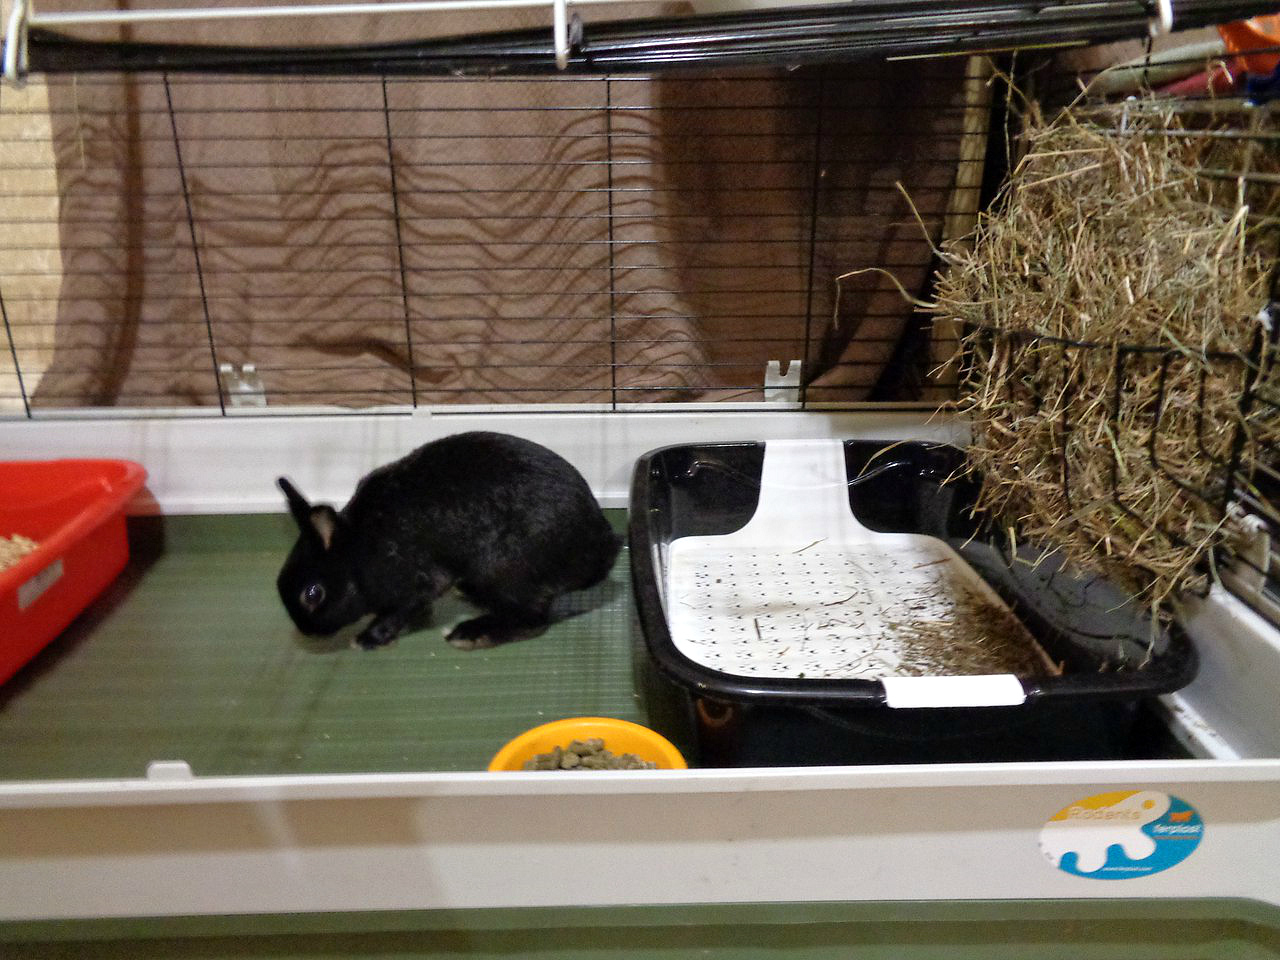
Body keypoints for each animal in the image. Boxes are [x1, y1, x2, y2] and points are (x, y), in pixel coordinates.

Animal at [276, 431, 622, 651]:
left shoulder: (415, 582)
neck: (357, 551)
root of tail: (602, 546)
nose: (308, 632)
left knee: (531, 619)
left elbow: (399, 610)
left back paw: (470, 634)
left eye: (313, 594)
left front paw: (368, 639)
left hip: (505, 570)